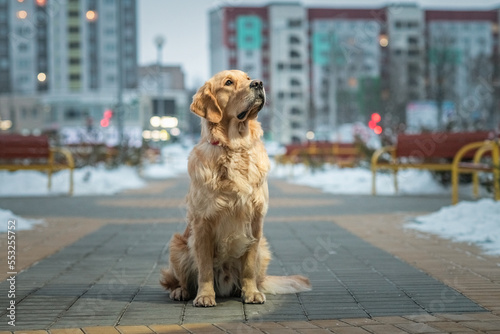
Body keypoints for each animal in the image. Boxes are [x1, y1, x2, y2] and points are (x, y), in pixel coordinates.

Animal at [160, 69, 310, 306]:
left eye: (248, 78)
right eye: (229, 83)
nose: (258, 83)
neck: (235, 147)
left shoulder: (255, 222)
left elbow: (248, 266)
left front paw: (251, 293)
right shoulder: (202, 224)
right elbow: (204, 268)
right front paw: (204, 295)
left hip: (263, 249)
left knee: (255, 275)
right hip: (177, 246)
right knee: (177, 280)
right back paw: (181, 291)